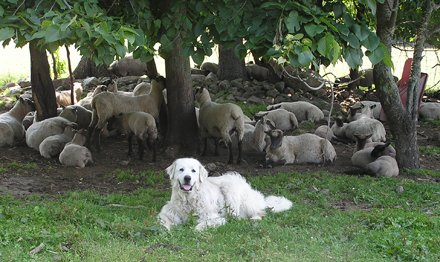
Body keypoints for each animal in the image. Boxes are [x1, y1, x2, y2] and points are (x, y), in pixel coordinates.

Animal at [158, 158, 292, 229]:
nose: (187, 178)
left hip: (231, 190)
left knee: (257, 213)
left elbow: (203, 224)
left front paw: (197, 229)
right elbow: (163, 220)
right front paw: (165, 228)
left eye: (193, 171)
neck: (188, 199)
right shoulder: (168, 212)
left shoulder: (214, 217)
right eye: (181, 169)